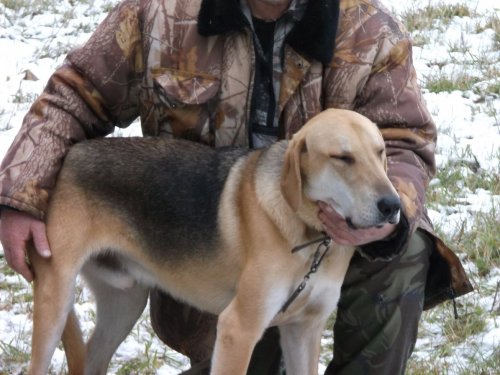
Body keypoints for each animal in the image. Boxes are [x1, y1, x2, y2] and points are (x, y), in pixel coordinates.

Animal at [27, 108, 400, 375]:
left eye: (380, 152)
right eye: (343, 158)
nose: (393, 205)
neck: (312, 239)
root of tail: (66, 155)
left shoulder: (303, 331)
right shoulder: (238, 329)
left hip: (125, 301)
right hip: (56, 301)